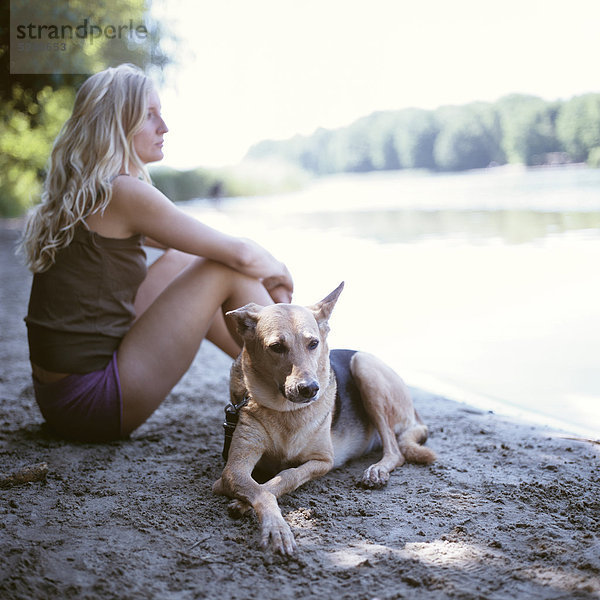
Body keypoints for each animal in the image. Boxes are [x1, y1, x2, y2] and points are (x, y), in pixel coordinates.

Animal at [213, 284, 434, 556]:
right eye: (276, 347)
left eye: (313, 343)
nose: (309, 389)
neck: (286, 411)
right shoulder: (234, 468)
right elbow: (260, 490)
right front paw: (274, 524)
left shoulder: (323, 461)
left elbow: (286, 477)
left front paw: (246, 504)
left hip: (364, 366)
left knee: (395, 450)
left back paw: (377, 470)